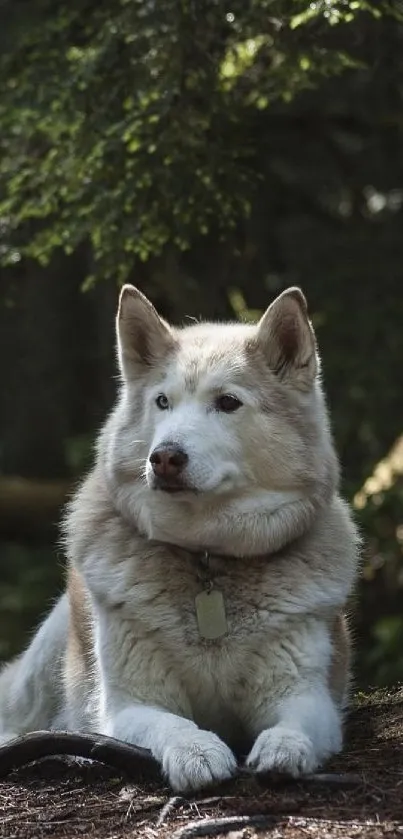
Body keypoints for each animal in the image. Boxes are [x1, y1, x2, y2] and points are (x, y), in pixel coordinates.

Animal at [0, 286, 360, 792]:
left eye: (227, 403)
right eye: (162, 402)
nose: (164, 457)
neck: (207, 557)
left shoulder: (308, 695)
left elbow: (294, 725)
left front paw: (284, 749)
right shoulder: (131, 705)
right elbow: (172, 724)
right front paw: (197, 752)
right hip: (45, 663)